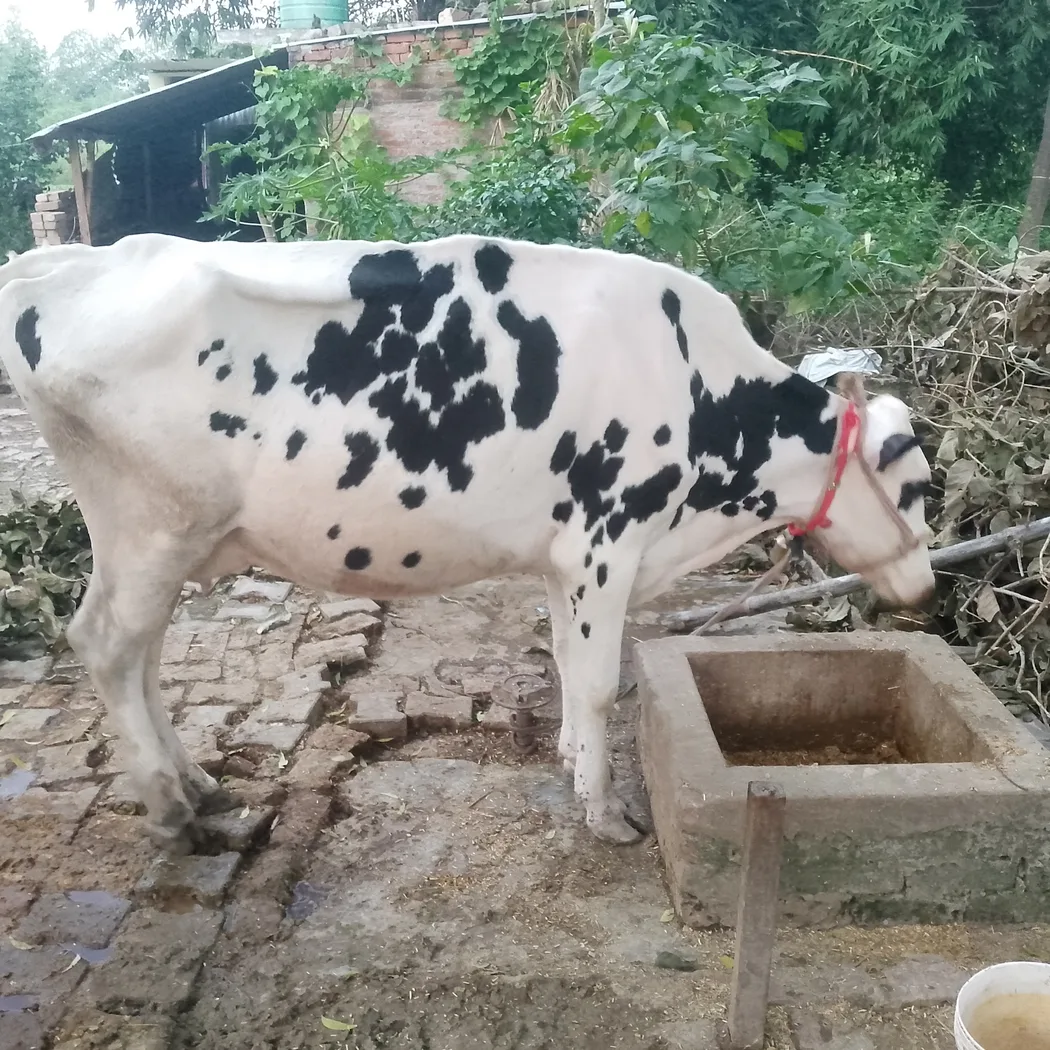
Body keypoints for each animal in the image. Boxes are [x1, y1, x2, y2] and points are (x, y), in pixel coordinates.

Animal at [0, 233, 935, 851]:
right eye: (921, 488)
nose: (928, 591)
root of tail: (58, 262)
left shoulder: (566, 556)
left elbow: (565, 663)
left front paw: (571, 762)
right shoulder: (610, 539)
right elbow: (600, 683)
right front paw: (607, 812)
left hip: (165, 539)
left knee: (141, 653)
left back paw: (195, 782)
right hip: (154, 525)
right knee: (107, 644)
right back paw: (171, 811)